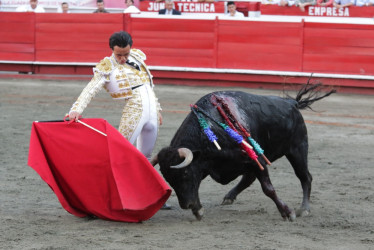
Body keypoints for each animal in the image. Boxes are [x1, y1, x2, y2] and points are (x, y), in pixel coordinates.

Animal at [150, 83, 334, 221]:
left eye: (185, 173)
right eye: (168, 178)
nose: (186, 205)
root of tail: (292, 104)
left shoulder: (256, 158)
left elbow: (268, 189)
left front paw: (288, 213)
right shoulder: (206, 164)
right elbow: (197, 186)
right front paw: (198, 209)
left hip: (298, 149)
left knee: (305, 177)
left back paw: (304, 209)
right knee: (248, 178)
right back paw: (229, 196)